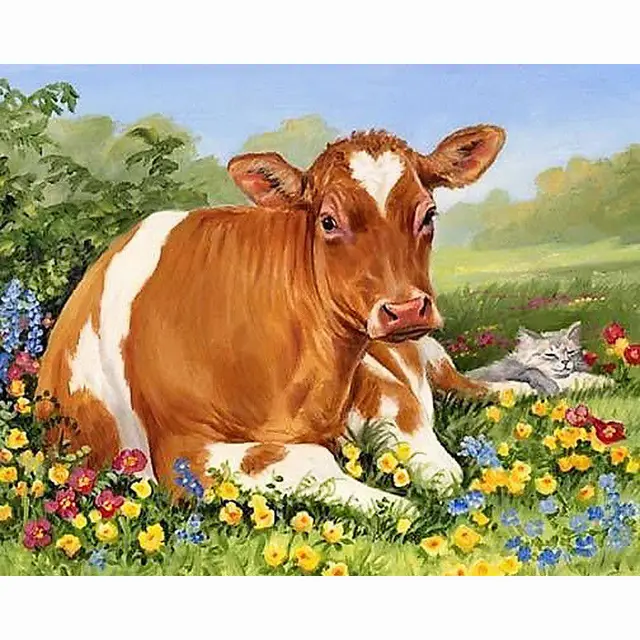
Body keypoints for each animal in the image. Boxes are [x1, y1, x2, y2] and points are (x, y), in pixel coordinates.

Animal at [36, 124, 505, 512]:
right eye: (328, 221)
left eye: (429, 214)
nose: (405, 309)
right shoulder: (181, 453)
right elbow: (317, 460)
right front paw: (397, 505)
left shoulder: (375, 376)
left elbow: (438, 459)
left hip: (427, 352)